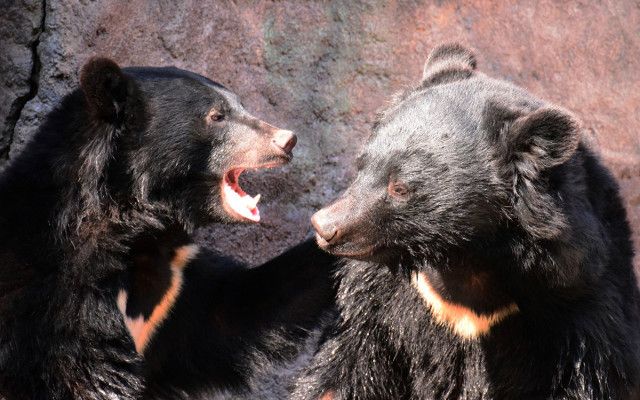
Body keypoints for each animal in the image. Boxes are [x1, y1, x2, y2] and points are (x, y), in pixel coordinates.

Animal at [0, 57, 296, 399]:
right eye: (216, 115)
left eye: (241, 106)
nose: (287, 140)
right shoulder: (55, 303)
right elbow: (85, 371)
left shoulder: (177, 283)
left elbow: (235, 314)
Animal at [291, 44, 640, 399]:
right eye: (363, 163)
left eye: (400, 187)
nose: (325, 226)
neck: (468, 258)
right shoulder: (377, 298)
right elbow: (347, 362)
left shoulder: (582, 302)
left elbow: (587, 380)